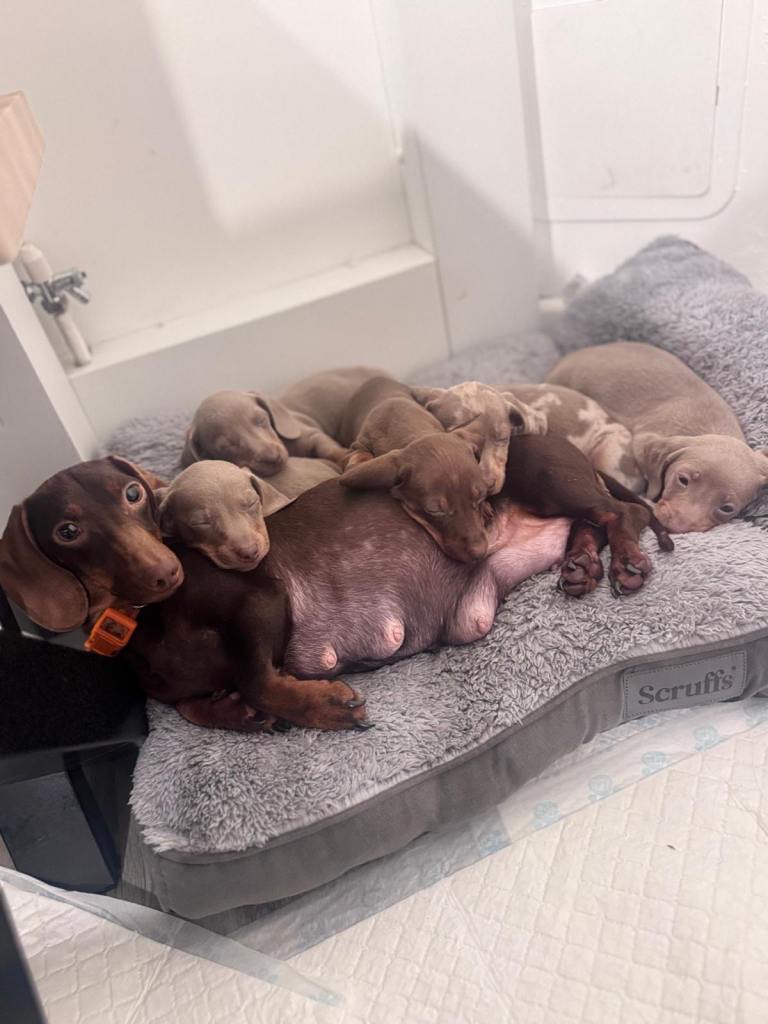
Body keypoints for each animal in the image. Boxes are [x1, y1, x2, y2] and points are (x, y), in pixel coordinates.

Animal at [0, 441, 672, 733]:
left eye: (133, 494)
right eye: (67, 530)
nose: (166, 572)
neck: (153, 621)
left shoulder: (259, 599)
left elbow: (259, 678)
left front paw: (321, 707)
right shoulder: (173, 692)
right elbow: (195, 705)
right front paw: (234, 713)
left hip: (548, 479)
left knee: (619, 513)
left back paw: (626, 560)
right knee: (589, 525)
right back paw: (581, 565)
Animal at [182, 389, 348, 475]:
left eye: (261, 419)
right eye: (227, 446)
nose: (274, 457)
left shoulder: (312, 435)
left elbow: (329, 449)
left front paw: (346, 458)